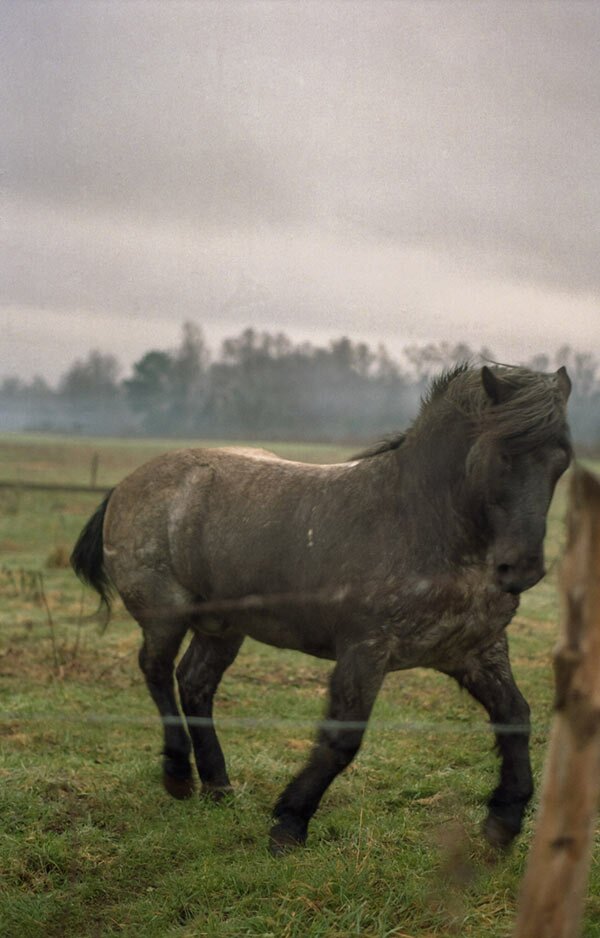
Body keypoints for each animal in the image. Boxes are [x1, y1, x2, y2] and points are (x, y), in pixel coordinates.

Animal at [71, 362, 572, 852]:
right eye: (502, 454)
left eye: (562, 460)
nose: (521, 569)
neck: (421, 525)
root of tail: (129, 483)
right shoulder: (365, 651)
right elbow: (342, 739)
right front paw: (289, 824)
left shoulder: (477, 651)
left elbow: (515, 716)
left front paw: (505, 818)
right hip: (165, 614)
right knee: (155, 670)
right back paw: (178, 775)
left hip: (223, 627)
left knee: (195, 683)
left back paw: (218, 785)